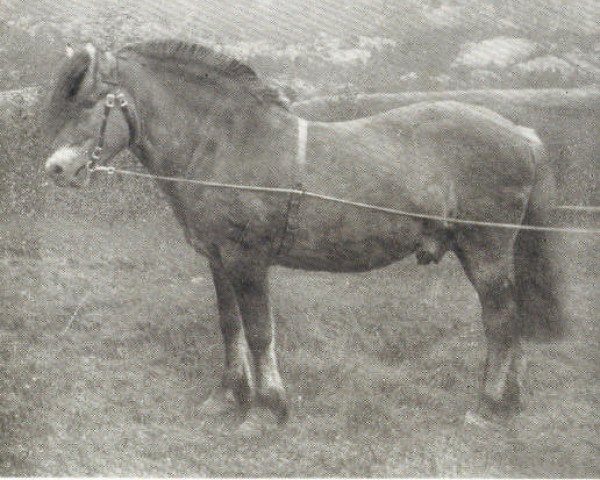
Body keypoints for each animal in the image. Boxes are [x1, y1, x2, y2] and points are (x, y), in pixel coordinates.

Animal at [43, 39, 568, 434]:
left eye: (90, 102)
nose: (56, 169)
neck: (225, 143)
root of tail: (520, 133)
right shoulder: (217, 260)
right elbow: (230, 326)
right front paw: (226, 396)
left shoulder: (247, 261)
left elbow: (260, 332)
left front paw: (265, 411)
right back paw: (509, 402)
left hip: (486, 250)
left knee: (501, 321)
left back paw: (488, 407)